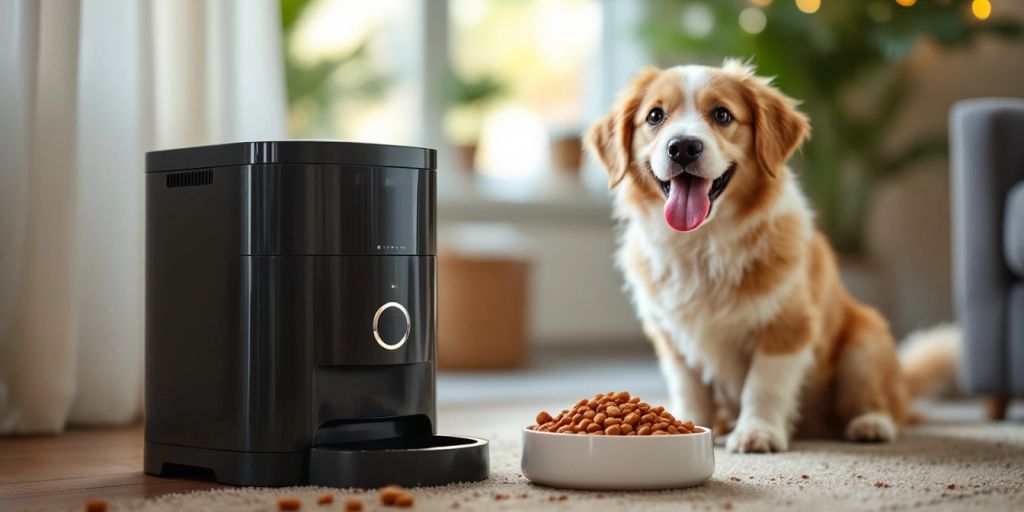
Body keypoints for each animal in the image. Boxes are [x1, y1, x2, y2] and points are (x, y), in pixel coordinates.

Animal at [589, 60, 954, 452]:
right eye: (655, 116)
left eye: (722, 114)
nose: (683, 147)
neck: (704, 246)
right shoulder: (672, 339)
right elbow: (690, 390)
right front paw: (688, 425)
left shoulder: (788, 328)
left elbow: (763, 386)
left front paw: (757, 431)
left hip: (865, 342)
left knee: (881, 405)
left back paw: (871, 424)